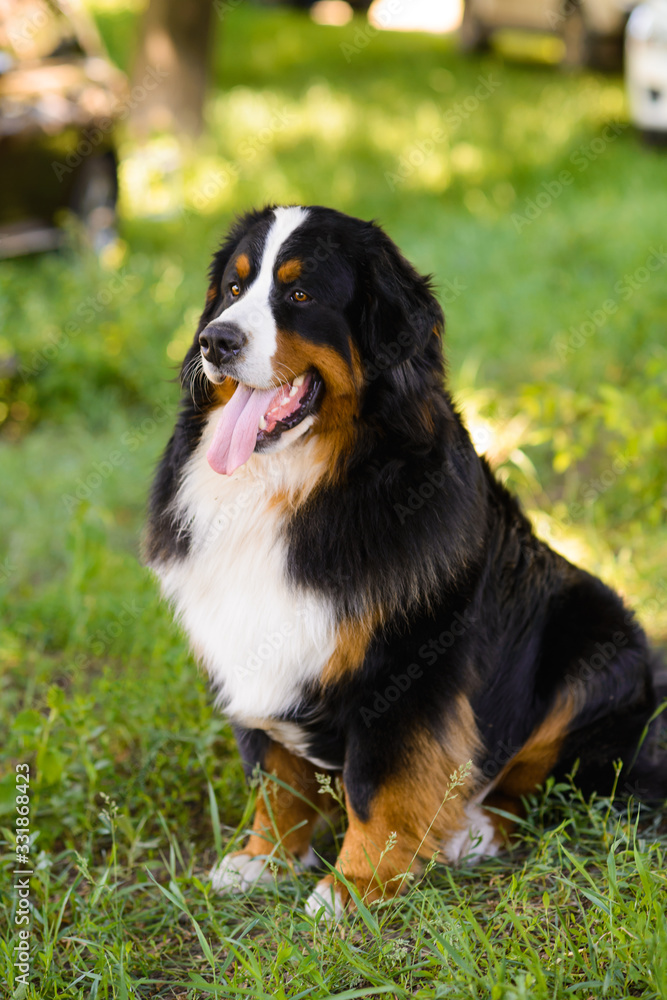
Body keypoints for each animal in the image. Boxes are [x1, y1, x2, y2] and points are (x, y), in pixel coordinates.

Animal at [146, 203, 667, 920]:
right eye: (232, 287)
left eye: (300, 295)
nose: (215, 341)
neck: (296, 484)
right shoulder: (248, 646)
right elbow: (276, 773)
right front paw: (264, 859)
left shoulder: (407, 664)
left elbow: (379, 783)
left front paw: (356, 886)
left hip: (597, 639)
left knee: (543, 775)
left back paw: (474, 830)